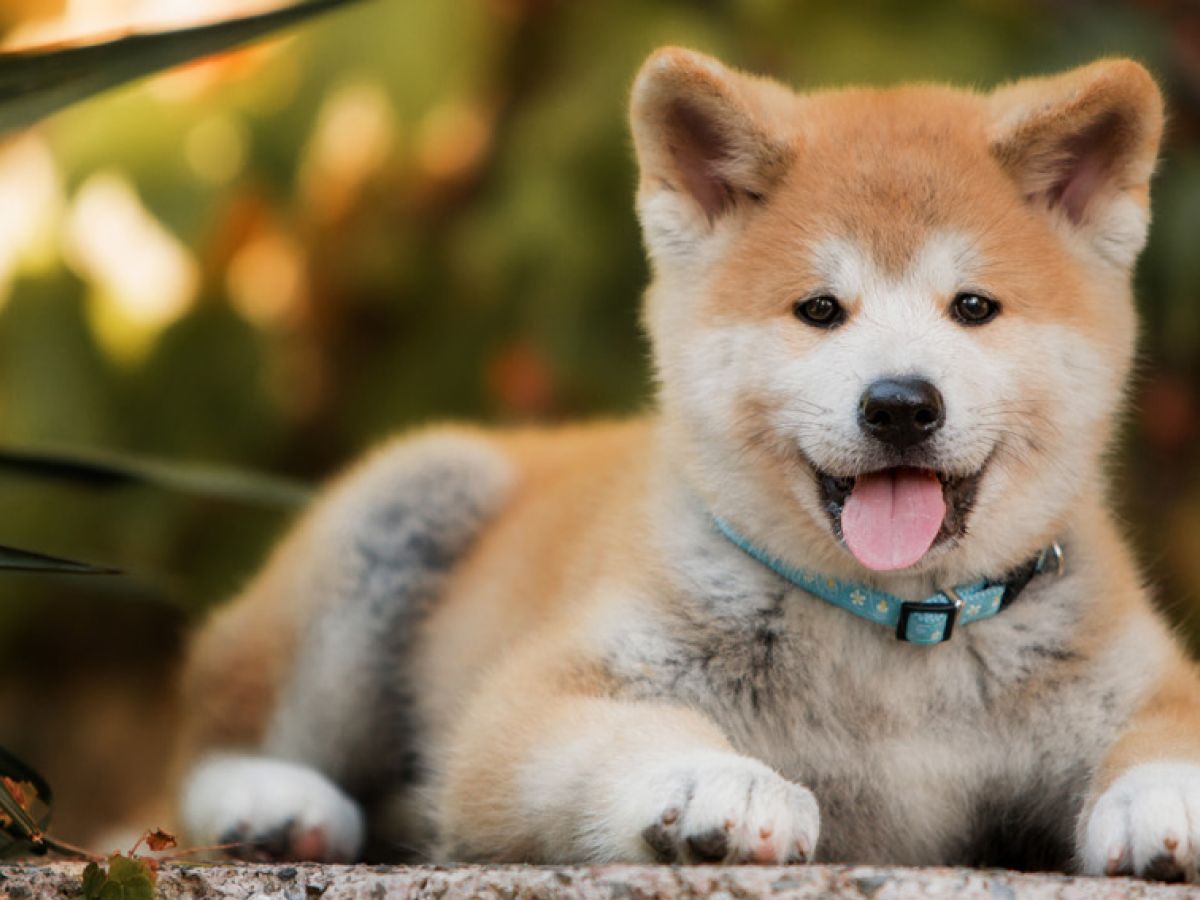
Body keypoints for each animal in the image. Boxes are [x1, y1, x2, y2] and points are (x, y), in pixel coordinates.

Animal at [171, 49, 1200, 883]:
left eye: (974, 307)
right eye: (820, 310)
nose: (901, 405)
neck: (896, 647)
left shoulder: (1139, 679)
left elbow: (1167, 732)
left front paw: (1166, 801)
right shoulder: (532, 705)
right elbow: (631, 731)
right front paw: (720, 784)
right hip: (410, 502)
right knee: (202, 746)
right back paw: (272, 803)